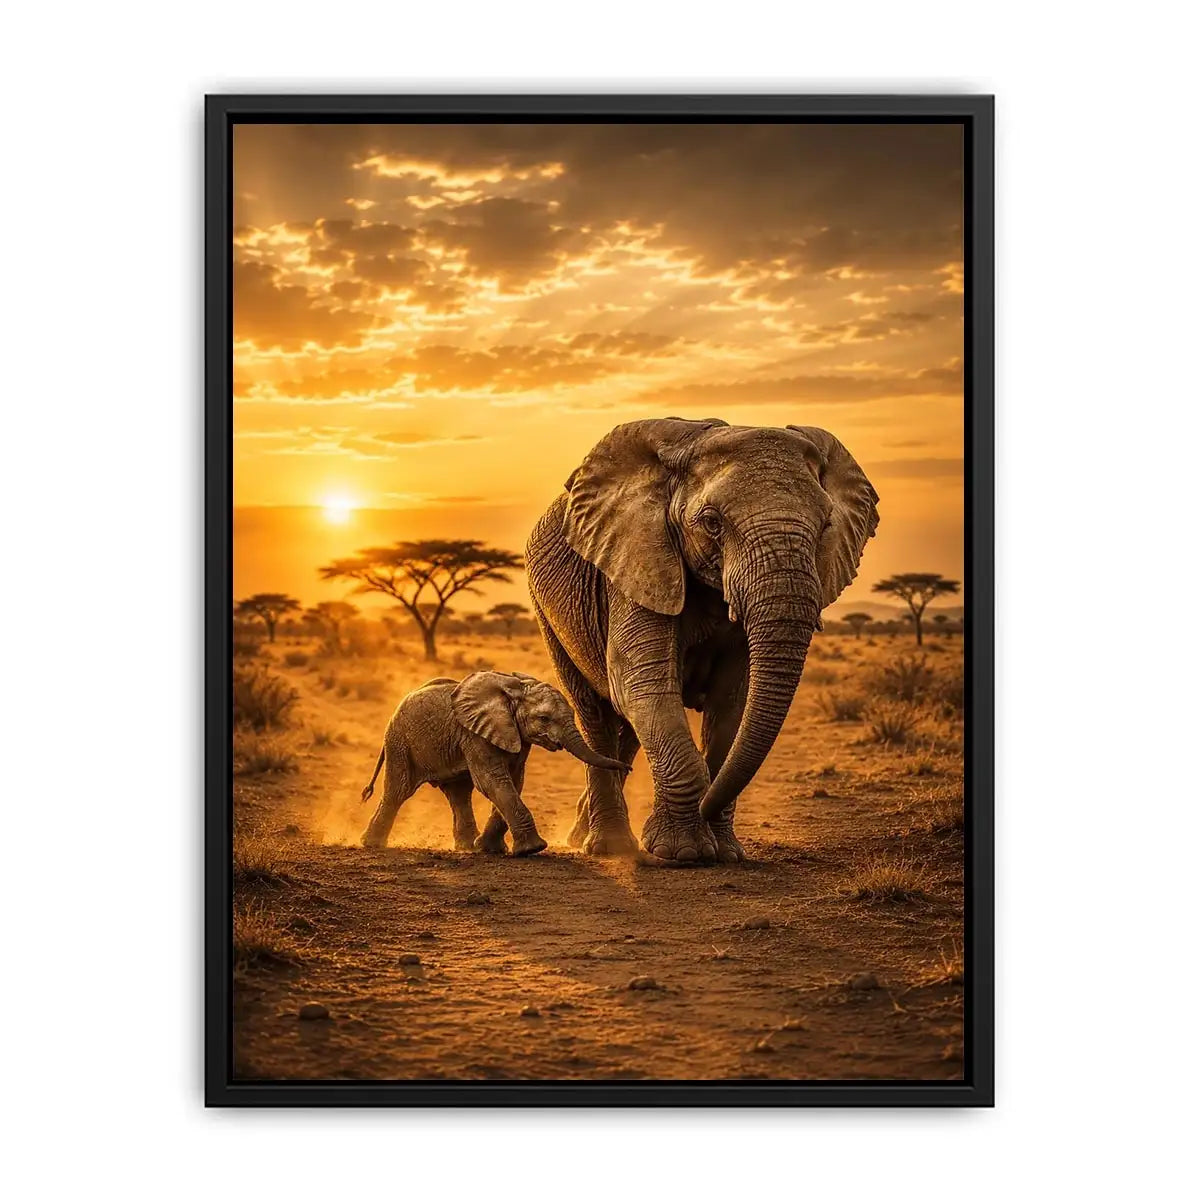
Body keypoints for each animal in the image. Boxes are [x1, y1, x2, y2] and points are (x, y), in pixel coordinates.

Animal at [358, 671, 630, 854]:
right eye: (544, 718)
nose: (628, 767)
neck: (513, 692)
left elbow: (514, 780)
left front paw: (489, 848)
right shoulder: (474, 734)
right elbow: (492, 781)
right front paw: (533, 849)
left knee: (459, 794)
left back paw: (467, 847)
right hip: (399, 742)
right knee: (398, 790)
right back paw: (370, 844)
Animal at [525, 418, 879, 865]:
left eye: (826, 525)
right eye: (712, 522)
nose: (708, 805)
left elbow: (732, 701)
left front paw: (725, 852)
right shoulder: (638, 561)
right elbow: (641, 685)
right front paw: (684, 852)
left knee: (626, 730)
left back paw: (584, 834)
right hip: (548, 614)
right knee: (595, 713)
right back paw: (608, 846)